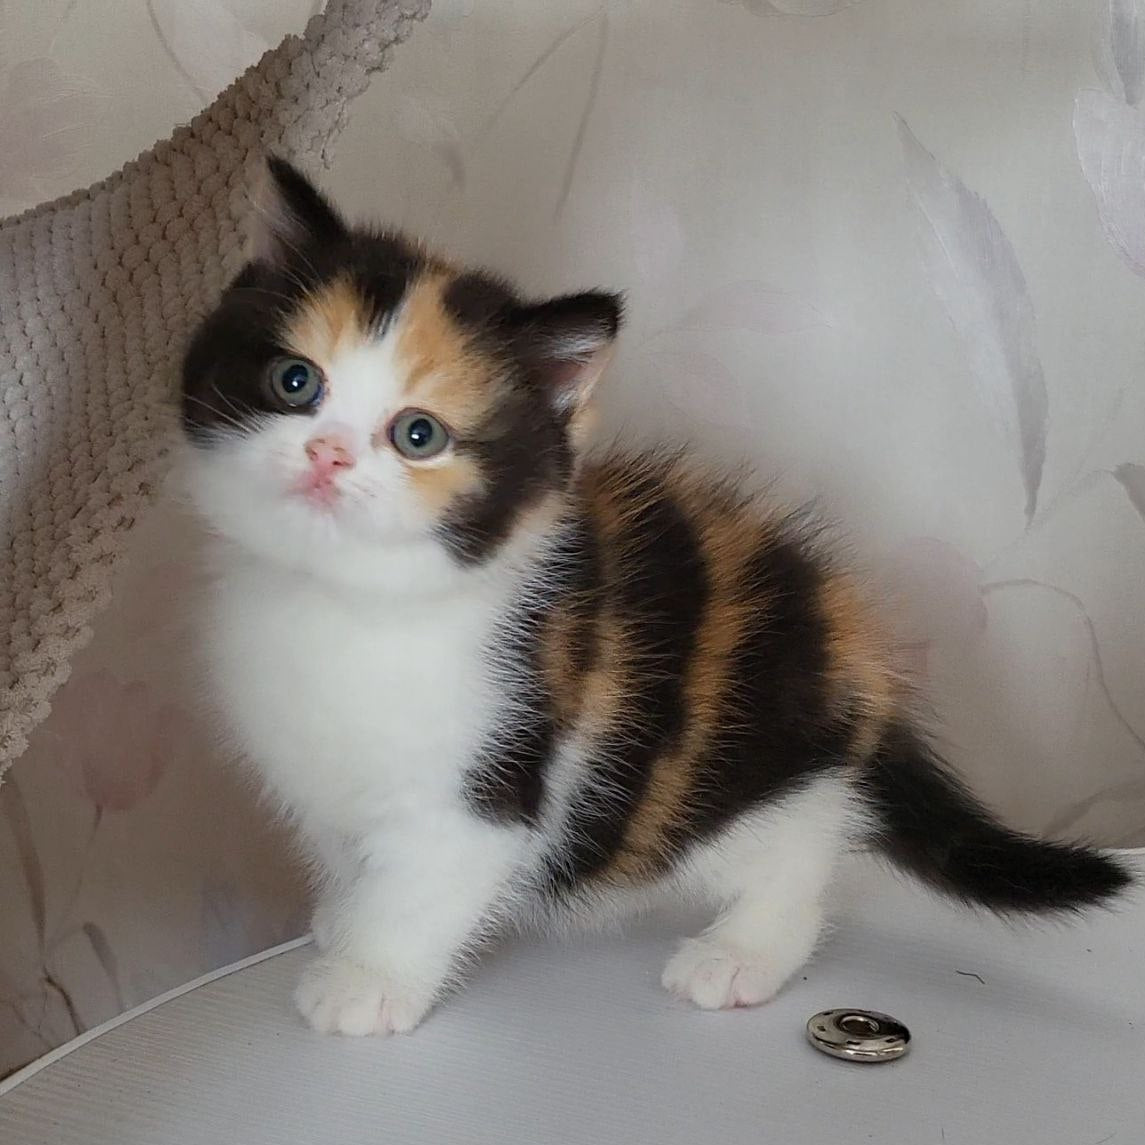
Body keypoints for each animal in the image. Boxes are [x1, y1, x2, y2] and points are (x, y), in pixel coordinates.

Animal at [179, 157, 1131, 1036]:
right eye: (294, 381)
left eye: (419, 434)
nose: (328, 454)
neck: (340, 599)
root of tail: (857, 658)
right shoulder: (323, 777)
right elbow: (352, 856)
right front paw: (345, 919)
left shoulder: (490, 772)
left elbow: (422, 884)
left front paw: (367, 977)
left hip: (754, 775)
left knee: (798, 860)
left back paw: (741, 952)